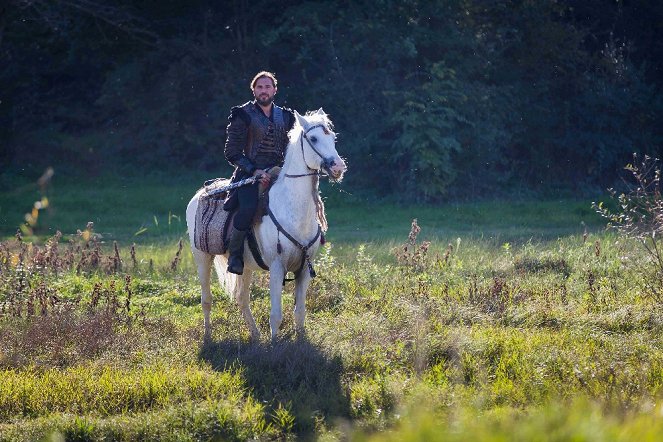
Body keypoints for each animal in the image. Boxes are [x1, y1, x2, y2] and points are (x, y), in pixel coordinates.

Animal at [184, 109, 344, 340]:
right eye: (313, 138)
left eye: (332, 138)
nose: (338, 167)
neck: (293, 210)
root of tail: (199, 193)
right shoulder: (277, 267)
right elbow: (276, 314)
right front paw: (274, 344)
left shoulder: (304, 269)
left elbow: (300, 313)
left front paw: (301, 341)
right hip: (202, 257)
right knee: (207, 299)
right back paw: (208, 337)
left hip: (243, 266)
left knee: (242, 298)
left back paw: (255, 335)